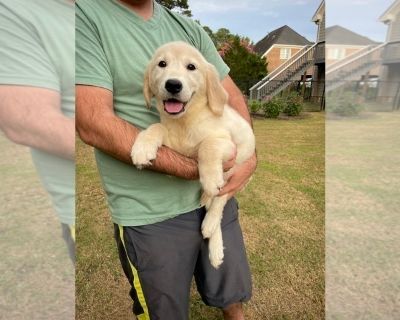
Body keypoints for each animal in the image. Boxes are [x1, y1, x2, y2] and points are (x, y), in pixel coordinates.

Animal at [131, 41, 256, 268]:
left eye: (191, 67)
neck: (185, 120)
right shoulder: (174, 143)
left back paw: (211, 227)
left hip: (236, 172)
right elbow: (157, 127)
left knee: (220, 200)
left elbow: (208, 145)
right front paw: (143, 146)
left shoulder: (227, 144)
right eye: (162, 64)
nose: (173, 85)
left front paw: (210, 180)